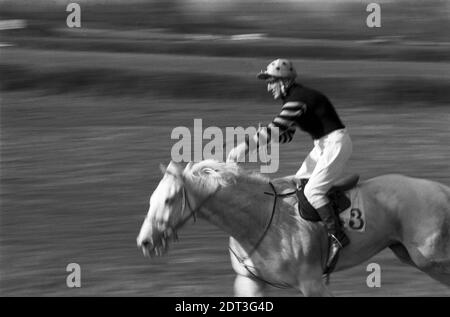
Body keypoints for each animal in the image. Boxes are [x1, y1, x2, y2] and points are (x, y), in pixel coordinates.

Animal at [137, 160, 450, 296]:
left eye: (169, 200)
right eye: (151, 199)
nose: (145, 242)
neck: (259, 220)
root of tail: (442, 189)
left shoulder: (312, 284)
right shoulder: (250, 282)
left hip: (430, 259)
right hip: (408, 254)